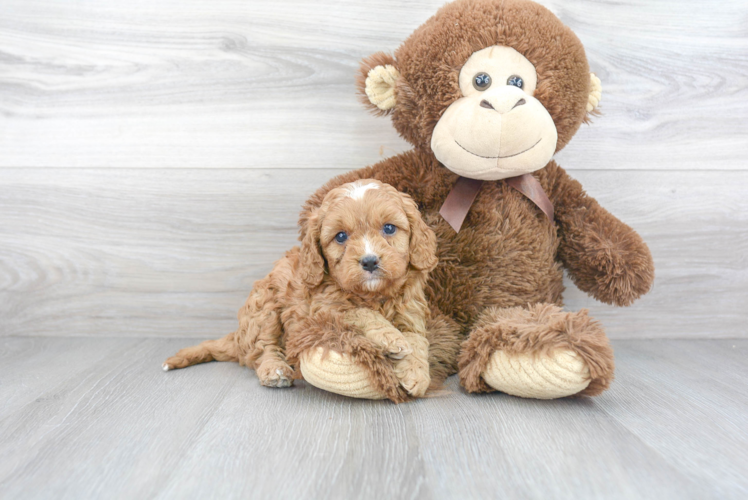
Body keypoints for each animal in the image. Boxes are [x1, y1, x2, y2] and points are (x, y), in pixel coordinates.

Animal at [161, 180, 436, 402]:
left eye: (389, 228)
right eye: (341, 236)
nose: (369, 262)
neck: (373, 294)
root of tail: (237, 336)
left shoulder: (411, 313)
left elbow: (418, 341)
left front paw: (417, 374)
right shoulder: (323, 311)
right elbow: (360, 313)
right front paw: (391, 337)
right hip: (265, 307)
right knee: (263, 348)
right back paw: (275, 370)